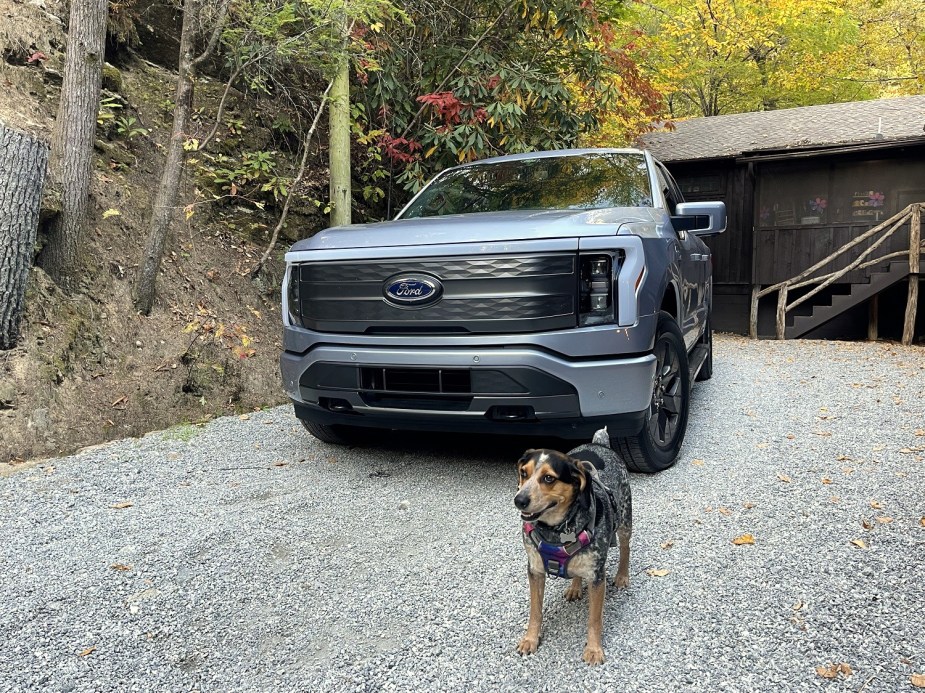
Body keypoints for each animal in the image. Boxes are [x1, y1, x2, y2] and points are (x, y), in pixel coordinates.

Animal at [508, 428, 632, 664]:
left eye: (548, 478)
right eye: (523, 473)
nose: (519, 500)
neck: (556, 530)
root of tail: (598, 444)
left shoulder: (596, 576)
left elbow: (594, 620)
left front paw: (594, 649)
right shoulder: (535, 570)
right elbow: (535, 611)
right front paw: (530, 639)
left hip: (625, 520)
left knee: (625, 549)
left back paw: (622, 576)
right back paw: (575, 587)